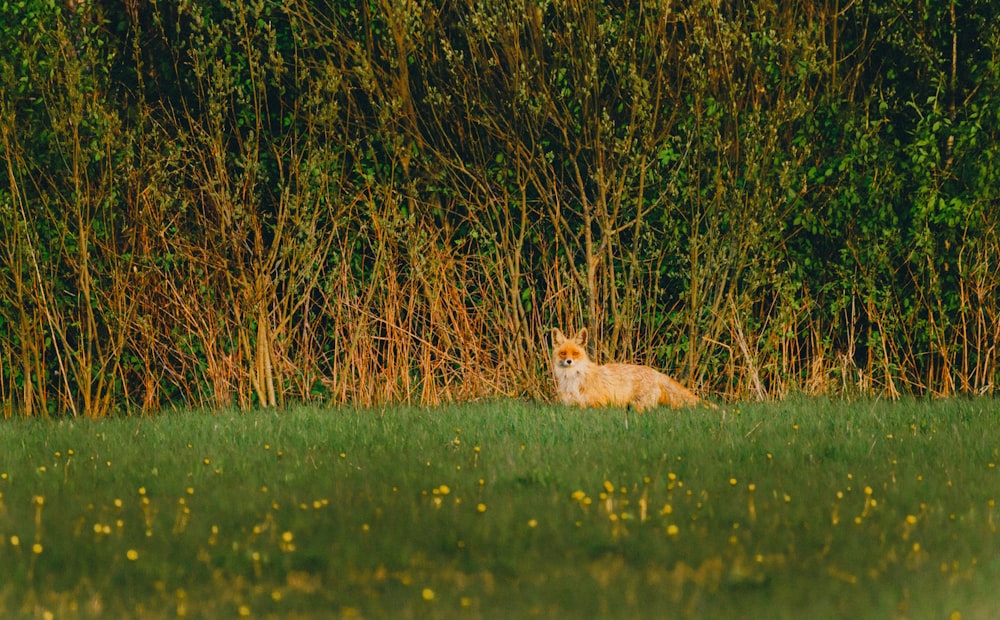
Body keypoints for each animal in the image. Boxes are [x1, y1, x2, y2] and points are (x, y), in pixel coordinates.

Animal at [552, 324, 708, 412]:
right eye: (563, 353)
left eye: (575, 353)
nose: (569, 361)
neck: (572, 379)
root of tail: (655, 372)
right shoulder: (571, 406)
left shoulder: (597, 404)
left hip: (637, 404)